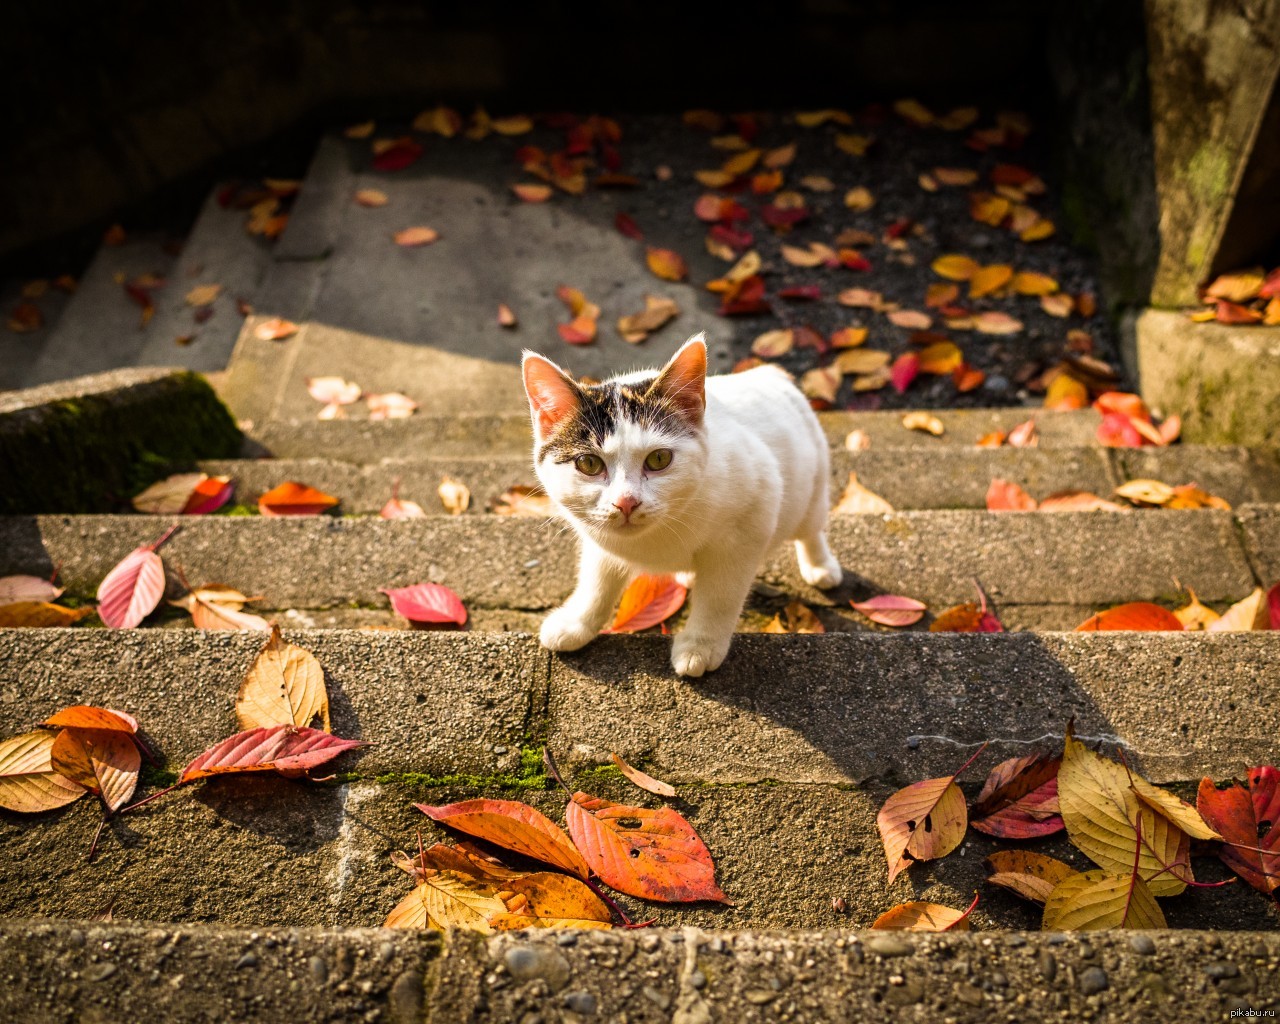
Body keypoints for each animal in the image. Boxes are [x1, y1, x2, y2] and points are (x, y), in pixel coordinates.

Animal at [519, 332, 839, 675]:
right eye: (589, 464)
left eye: (659, 459)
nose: (626, 502)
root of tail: (767, 373)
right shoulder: (599, 541)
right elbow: (597, 581)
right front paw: (576, 623)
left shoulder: (749, 524)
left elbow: (720, 595)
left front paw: (701, 644)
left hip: (813, 485)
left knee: (811, 529)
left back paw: (820, 566)